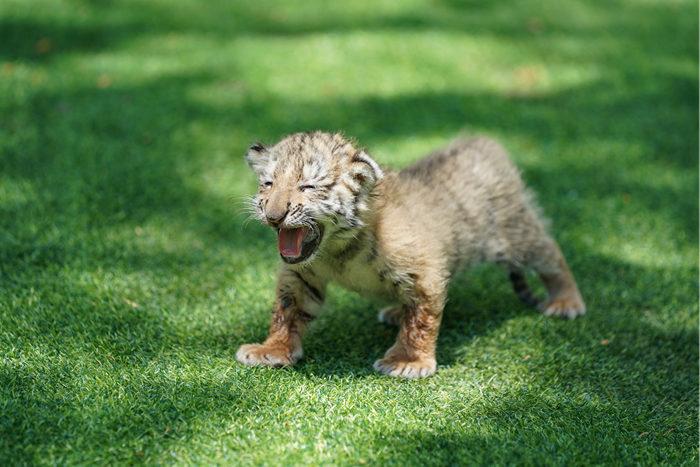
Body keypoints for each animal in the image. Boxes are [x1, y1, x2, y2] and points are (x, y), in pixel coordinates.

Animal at [236, 131, 585, 378]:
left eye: (307, 186)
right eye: (268, 183)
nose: (274, 215)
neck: (338, 248)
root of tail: (485, 144)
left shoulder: (423, 273)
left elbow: (421, 320)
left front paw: (408, 361)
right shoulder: (301, 274)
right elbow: (287, 310)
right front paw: (272, 349)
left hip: (515, 234)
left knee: (550, 253)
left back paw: (566, 302)